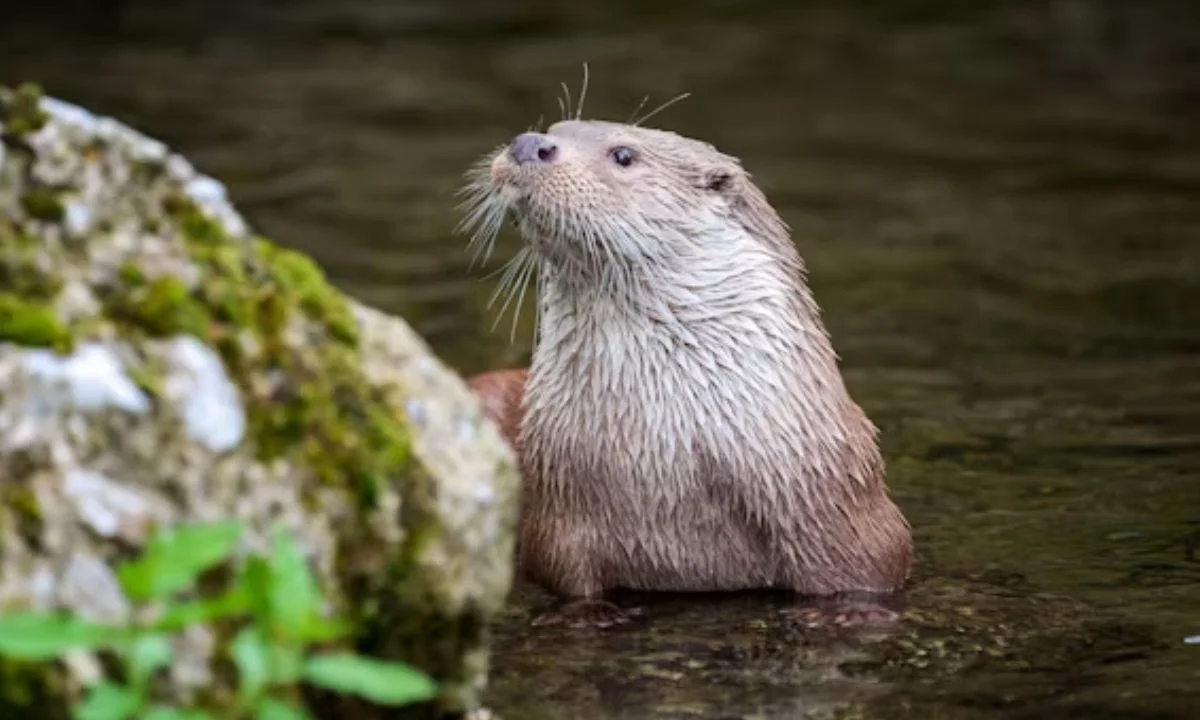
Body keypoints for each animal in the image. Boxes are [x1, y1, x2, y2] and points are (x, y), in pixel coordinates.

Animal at [459, 115, 912, 629]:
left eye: (624, 155)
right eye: (555, 128)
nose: (529, 143)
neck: (669, 454)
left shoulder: (844, 519)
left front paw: (848, 615)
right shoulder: (559, 520)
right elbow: (569, 580)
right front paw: (582, 615)